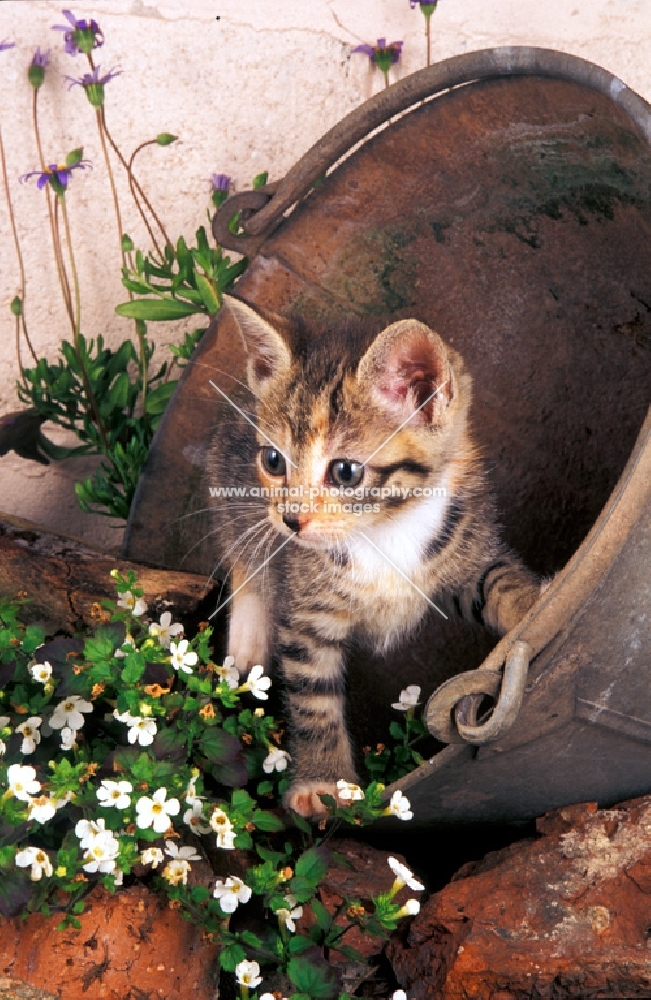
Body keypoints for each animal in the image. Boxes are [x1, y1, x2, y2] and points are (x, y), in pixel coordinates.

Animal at [211, 292, 544, 816]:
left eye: (345, 472)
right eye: (273, 461)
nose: (292, 521)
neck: (383, 527)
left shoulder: (465, 546)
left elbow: (497, 582)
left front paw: (538, 602)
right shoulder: (306, 613)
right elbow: (313, 697)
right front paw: (322, 781)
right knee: (241, 545)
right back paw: (247, 632)